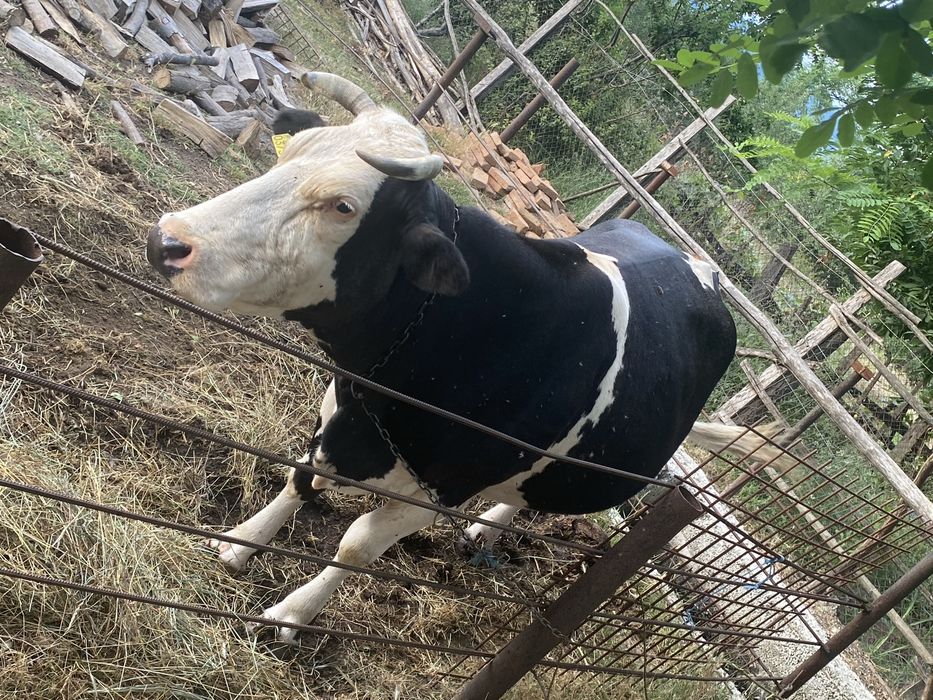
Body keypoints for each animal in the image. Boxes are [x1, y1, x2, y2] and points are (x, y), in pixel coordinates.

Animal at [147, 72, 765, 643]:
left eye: (344, 206)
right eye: (291, 152)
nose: (167, 241)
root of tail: (698, 264)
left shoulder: (441, 491)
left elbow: (356, 546)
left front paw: (292, 613)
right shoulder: (339, 408)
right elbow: (301, 477)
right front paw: (240, 544)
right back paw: (486, 529)